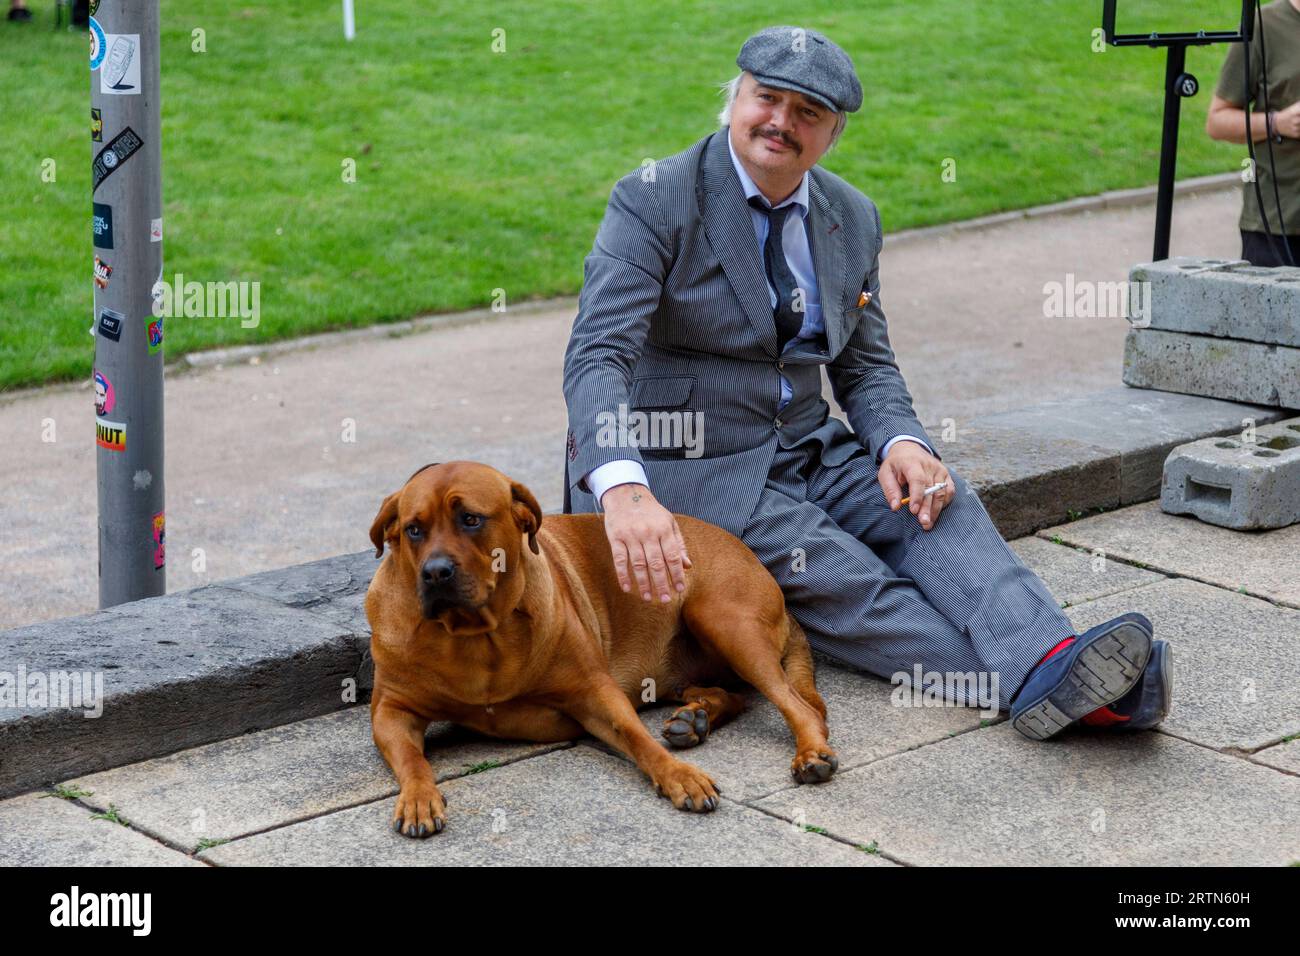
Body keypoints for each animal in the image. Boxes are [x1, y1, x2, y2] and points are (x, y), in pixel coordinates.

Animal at [366, 463, 837, 837]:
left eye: (470, 519)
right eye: (413, 529)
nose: (435, 572)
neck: (476, 635)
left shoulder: (593, 692)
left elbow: (637, 736)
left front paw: (678, 774)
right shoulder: (392, 711)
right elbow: (412, 759)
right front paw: (418, 797)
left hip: (725, 620)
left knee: (798, 704)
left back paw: (808, 752)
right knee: (734, 695)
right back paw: (695, 718)